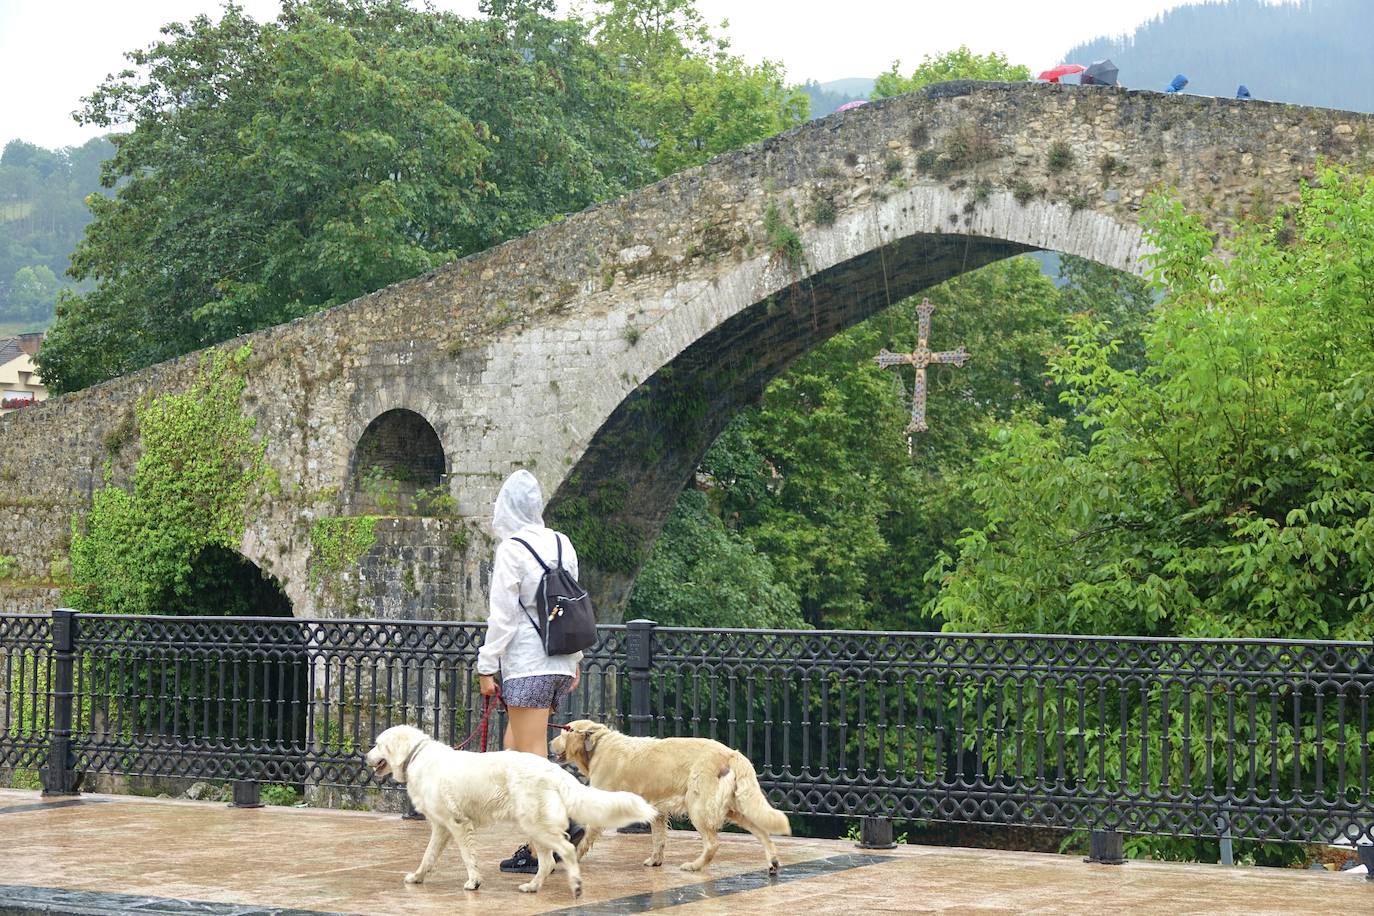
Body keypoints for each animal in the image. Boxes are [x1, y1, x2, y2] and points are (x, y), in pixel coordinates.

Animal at [368, 725, 656, 895]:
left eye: (378, 744)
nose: (365, 756)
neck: (417, 756)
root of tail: (553, 769)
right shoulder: (441, 827)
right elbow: (428, 857)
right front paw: (417, 878)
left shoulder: (458, 824)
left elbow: (467, 858)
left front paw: (474, 882)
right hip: (535, 827)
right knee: (548, 862)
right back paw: (532, 886)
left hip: (535, 825)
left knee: (566, 850)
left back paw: (575, 885)